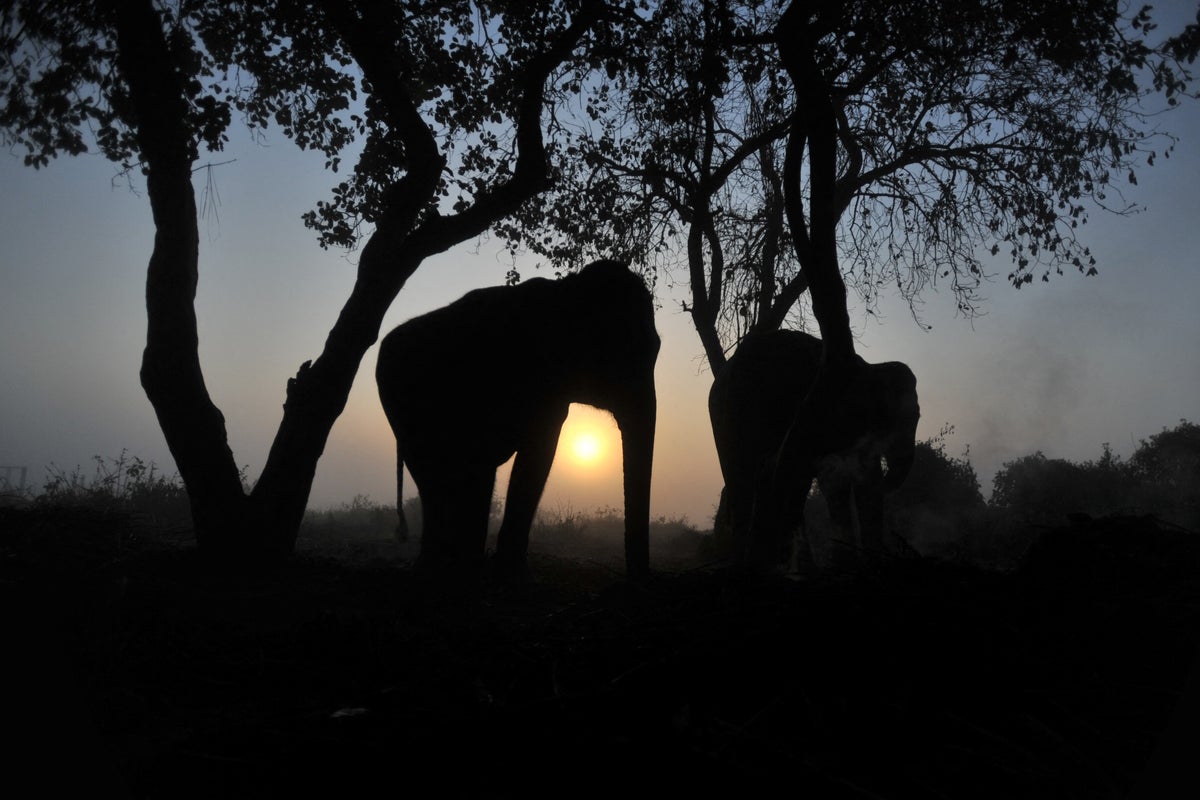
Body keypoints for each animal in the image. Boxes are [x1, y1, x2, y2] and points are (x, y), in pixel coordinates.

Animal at [376, 259, 660, 580]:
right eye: (620, 348)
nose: (642, 577)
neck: (563, 292)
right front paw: (506, 572)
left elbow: (539, 452)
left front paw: (500, 568)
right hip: (400, 407)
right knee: (433, 472)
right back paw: (435, 566)